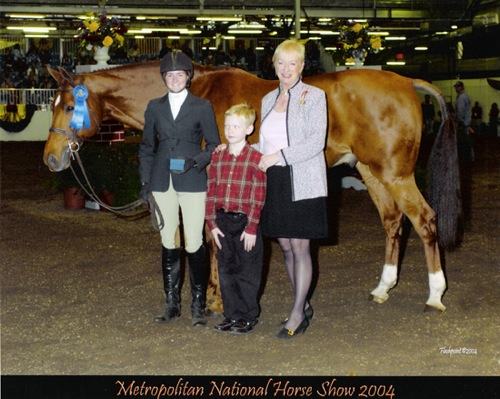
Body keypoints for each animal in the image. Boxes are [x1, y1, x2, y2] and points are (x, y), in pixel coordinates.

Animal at [43, 61, 460, 312]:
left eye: (69, 107)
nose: (51, 159)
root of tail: (407, 81)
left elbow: (210, 241)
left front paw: (215, 301)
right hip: (372, 172)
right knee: (393, 222)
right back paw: (382, 288)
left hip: (396, 175)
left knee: (424, 220)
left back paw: (435, 294)